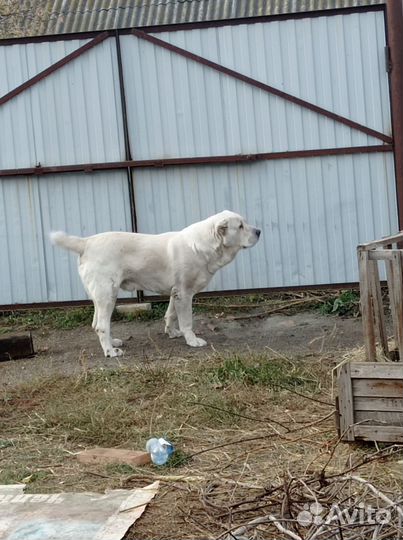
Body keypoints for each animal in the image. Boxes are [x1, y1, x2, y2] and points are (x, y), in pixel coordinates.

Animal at [50, 211, 260, 358]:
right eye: (240, 226)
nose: (259, 231)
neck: (205, 245)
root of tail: (86, 242)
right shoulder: (185, 293)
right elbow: (186, 321)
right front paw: (192, 340)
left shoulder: (176, 293)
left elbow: (171, 315)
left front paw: (172, 332)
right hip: (107, 294)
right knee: (102, 326)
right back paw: (110, 352)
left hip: (101, 296)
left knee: (96, 323)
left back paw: (113, 343)